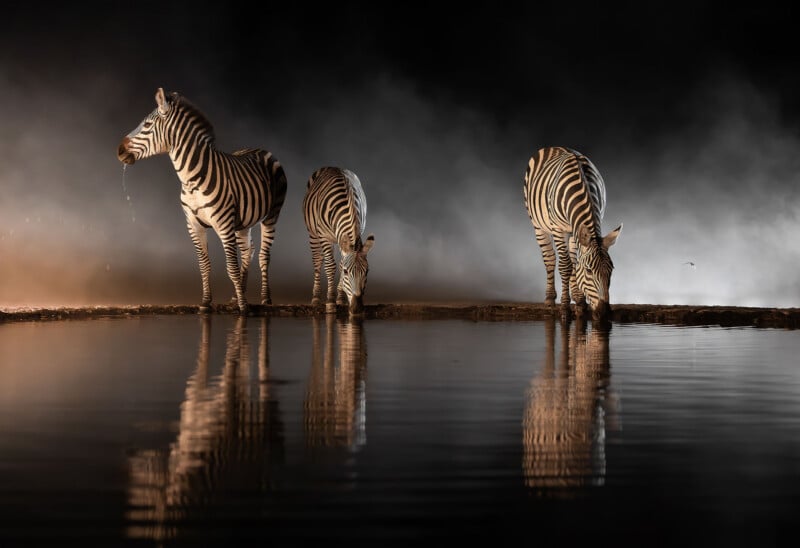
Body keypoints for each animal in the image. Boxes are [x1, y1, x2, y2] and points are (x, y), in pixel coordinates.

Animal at [117, 88, 287, 314]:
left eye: (146, 125)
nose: (118, 150)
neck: (191, 180)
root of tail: (260, 149)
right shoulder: (193, 225)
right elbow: (204, 265)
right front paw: (206, 302)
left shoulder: (224, 225)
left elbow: (230, 267)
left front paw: (243, 308)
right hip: (243, 222)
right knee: (247, 251)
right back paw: (238, 294)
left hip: (272, 215)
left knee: (263, 255)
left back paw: (265, 299)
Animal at [303, 167, 375, 315]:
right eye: (347, 272)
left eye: (367, 271)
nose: (357, 309)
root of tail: (332, 167)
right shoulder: (324, 236)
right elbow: (330, 266)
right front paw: (330, 301)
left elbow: (341, 264)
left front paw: (340, 299)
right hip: (313, 233)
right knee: (317, 260)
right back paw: (316, 298)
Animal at [523, 146, 622, 320]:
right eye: (589, 271)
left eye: (612, 269)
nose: (604, 314)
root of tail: (553, 147)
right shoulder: (558, 229)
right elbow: (565, 266)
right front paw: (564, 307)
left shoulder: (578, 230)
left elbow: (575, 264)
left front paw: (580, 302)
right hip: (538, 225)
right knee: (549, 258)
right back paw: (550, 299)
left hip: (572, 233)